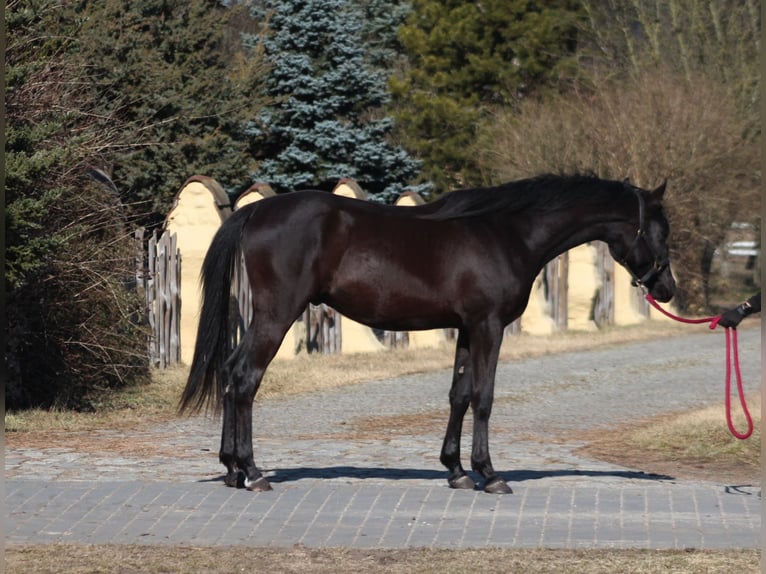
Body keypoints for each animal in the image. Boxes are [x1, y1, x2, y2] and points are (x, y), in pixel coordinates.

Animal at [179, 174, 676, 494]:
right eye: (661, 230)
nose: (667, 288)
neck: (507, 232)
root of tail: (257, 210)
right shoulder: (489, 326)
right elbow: (484, 397)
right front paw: (490, 474)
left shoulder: (466, 328)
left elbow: (459, 395)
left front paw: (456, 470)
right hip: (277, 314)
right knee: (245, 378)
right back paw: (253, 472)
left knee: (231, 374)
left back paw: (231, 469)